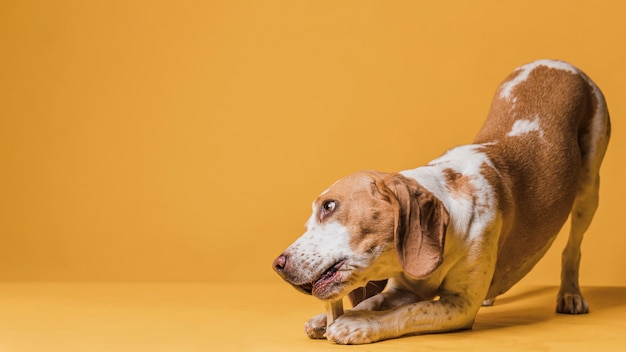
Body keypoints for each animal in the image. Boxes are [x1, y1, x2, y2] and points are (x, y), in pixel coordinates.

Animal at [270, 59, 608, 344]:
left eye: (329, 207)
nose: (278, 264)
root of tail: (557, 63)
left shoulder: (461, 305)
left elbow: (407, 313)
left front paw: (358, 324)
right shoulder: (405, 289)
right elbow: (375, 300)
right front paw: (328, 318)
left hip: (589, 191)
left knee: (572, 248)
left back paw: (570, 294)